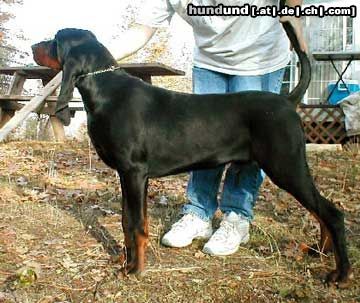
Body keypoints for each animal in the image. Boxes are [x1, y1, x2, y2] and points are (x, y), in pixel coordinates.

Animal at [31, 20, 352, 286]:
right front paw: (125, 263)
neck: (107, 91)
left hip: (286, 166)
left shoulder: (133, 172)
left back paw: (340, 274)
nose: (33, 46)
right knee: (321, 211)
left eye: (55, 39)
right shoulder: (131, 176)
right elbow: (128, 222)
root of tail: (287, 100)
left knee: (332, 212)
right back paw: (319, 251)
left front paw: (135, 270)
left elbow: (136, 225)